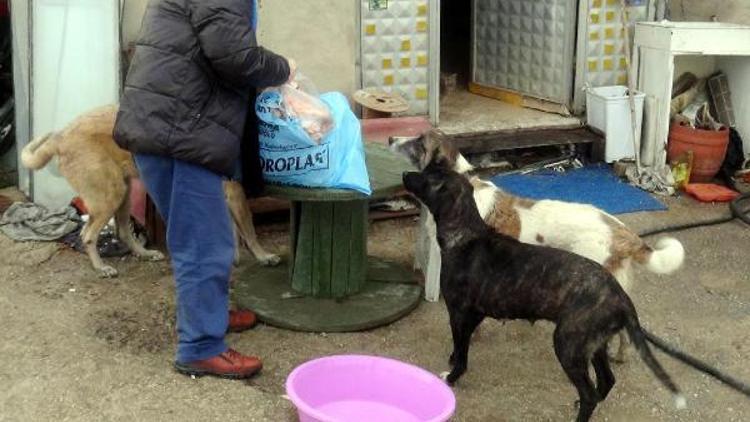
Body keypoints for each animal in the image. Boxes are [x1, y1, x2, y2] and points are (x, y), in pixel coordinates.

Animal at [23, 104, 282, 276]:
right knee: (87, 235)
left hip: (124, 192)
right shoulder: (234, 193)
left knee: (123, 231)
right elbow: (249, 231)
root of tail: (60, 137)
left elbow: (235, 232)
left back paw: (145, 254)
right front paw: (264, 257)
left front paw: (233, 258)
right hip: (110, 196)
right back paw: (102, 268)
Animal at [406, 162, 688, 422]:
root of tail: (620, 297)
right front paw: (452, 360)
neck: (467, 233)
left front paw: (452, 377)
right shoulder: (475, 315)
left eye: (430, 177)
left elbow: (462, 354)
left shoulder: (459, 312)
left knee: (590, 394)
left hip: (567, 345)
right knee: (606, 381)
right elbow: (459, 347)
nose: (406, 174)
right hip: (593, 346)